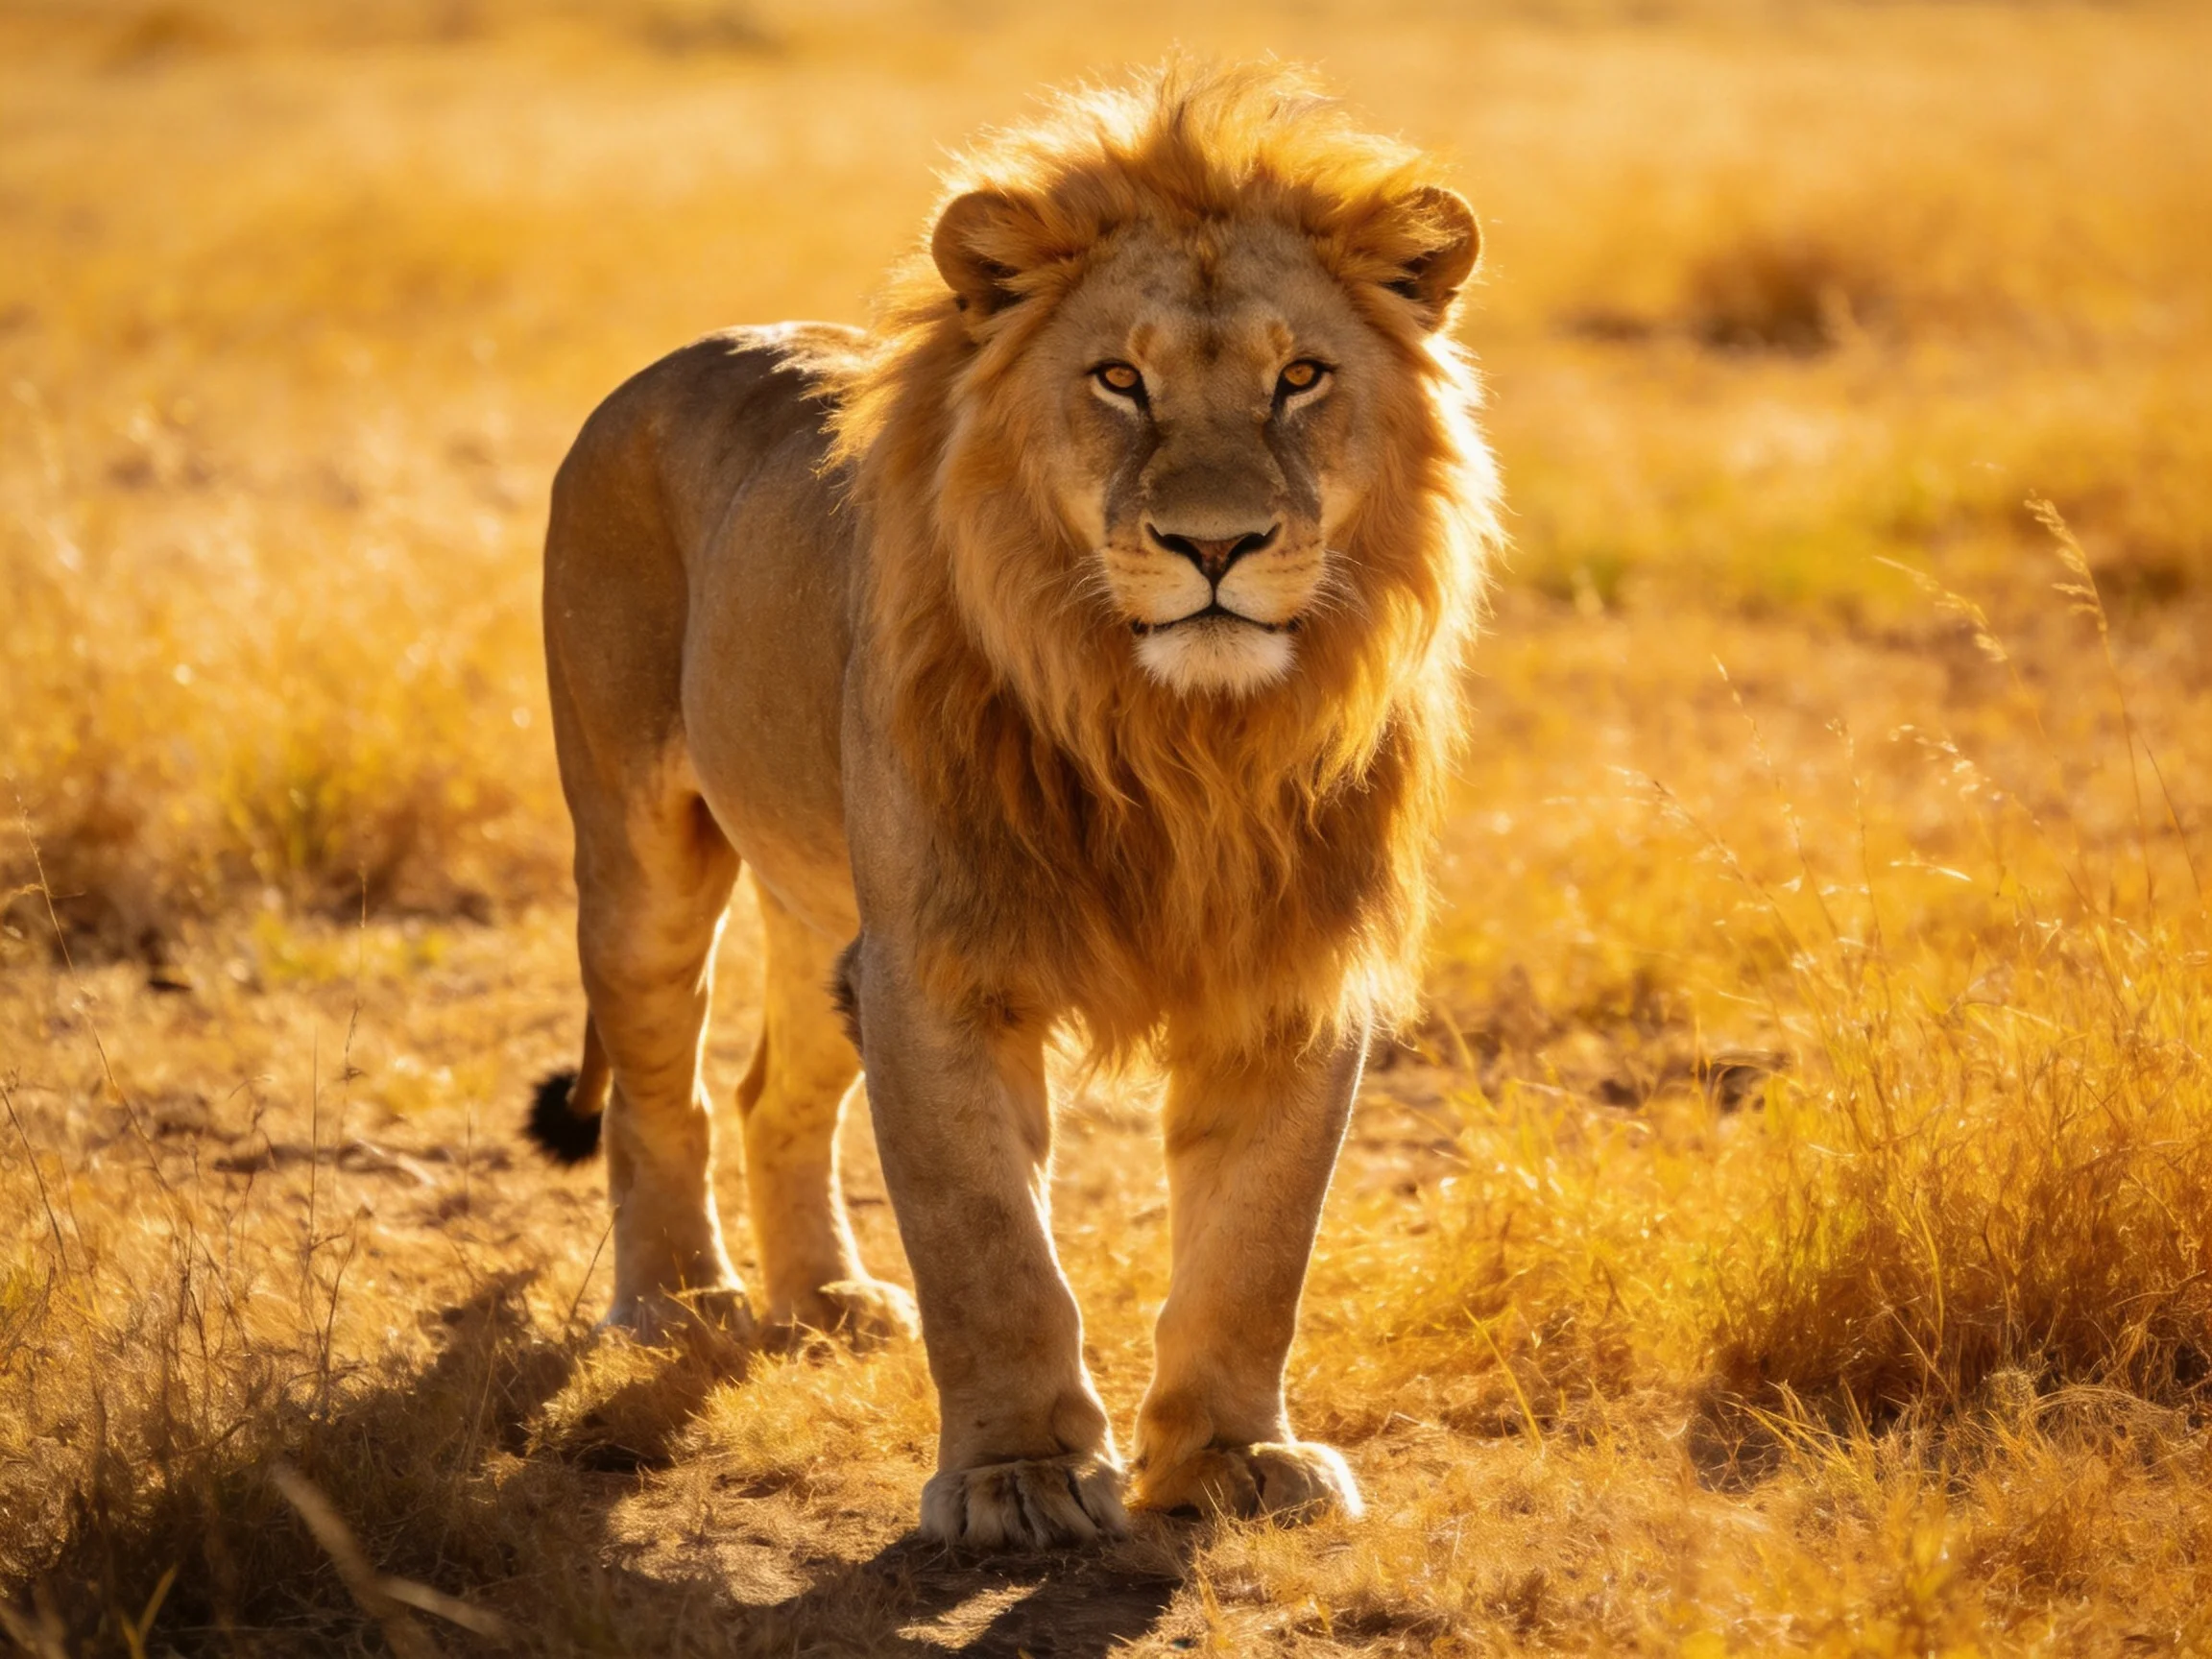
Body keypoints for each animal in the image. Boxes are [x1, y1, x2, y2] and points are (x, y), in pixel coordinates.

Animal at [526, 61, 1502, 1548]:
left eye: (1300, 378)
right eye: (1119, 379)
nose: (1214, 546)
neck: (1181, 737)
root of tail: (672, 362)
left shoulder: (1292, 968)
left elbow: (1258, 1243)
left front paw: (1234, 1458)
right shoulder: (938, 967)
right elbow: (987, 1243)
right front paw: (1020, 1478)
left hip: (827, 922)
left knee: (768, 1093)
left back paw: (826, 1301)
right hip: (641, 848)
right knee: (660, 1089)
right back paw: (680, 1303)